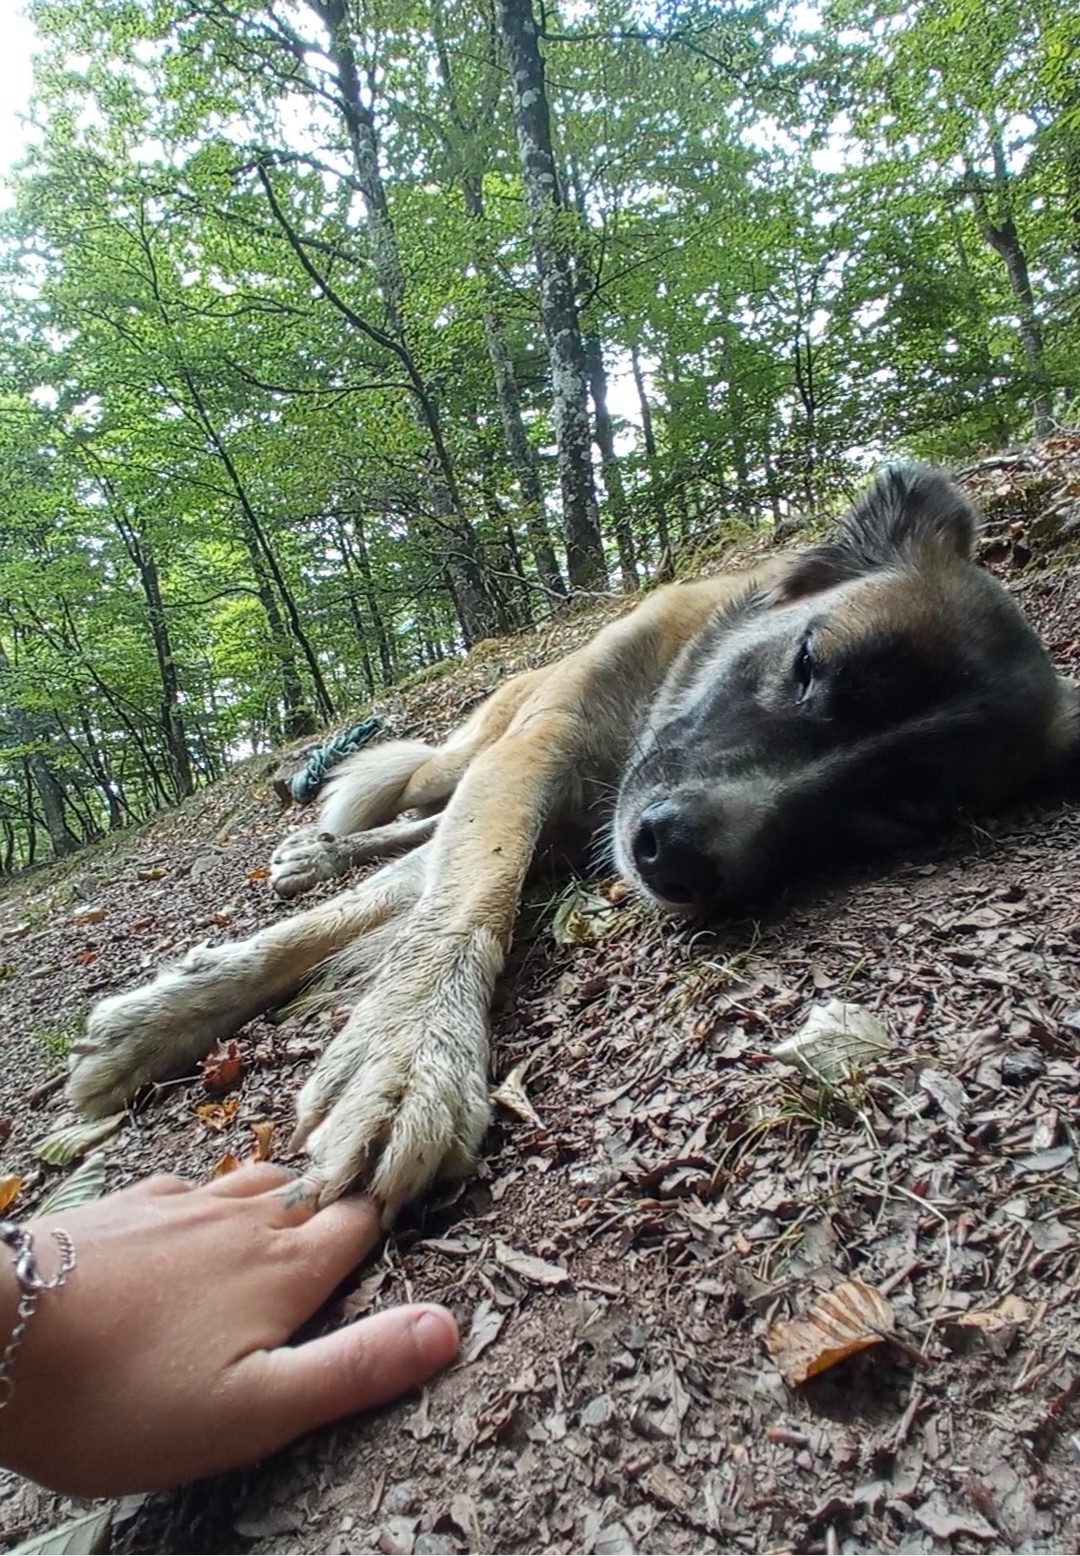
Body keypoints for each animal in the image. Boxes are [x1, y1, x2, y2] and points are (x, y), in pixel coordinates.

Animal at [65, 466, 1076, 1219]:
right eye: (809, 665)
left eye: (898, 811)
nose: (679, 856)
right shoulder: (532, 761)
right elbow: (462, 894)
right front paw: (397, 1060)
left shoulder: (568, 821)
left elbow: (416, 896)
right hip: (471, 748)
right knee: (414, 794)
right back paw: (318, 847)